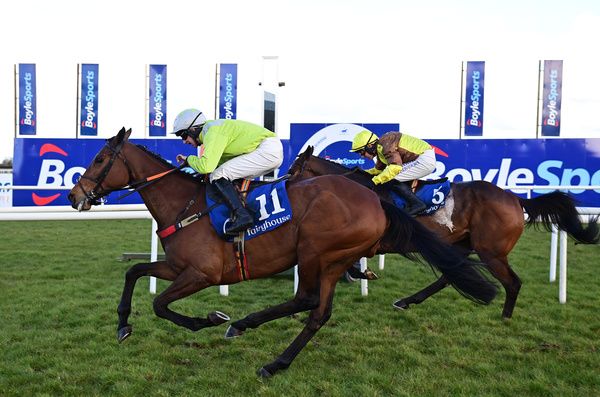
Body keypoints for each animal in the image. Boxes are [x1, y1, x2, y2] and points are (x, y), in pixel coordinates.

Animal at [67, 129, 496, 378]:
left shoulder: (202, 273)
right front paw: (123, 325)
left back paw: (242, 327)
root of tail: (375, 200)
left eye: (101, 159)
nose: (74, 196)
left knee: (305, 299)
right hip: (334, 259)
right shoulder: (177, 266)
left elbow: (160, 305)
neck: (184, 205)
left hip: (315, 251)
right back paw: (276, 361)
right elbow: (135, 271)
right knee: (318, 313)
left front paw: (209, 319)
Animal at [288, 145, 596, 318]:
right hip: (461, 243)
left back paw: (506, 317)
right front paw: (362, 274)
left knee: (513, 282)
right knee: (450, 275)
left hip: (492, 251)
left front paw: (361, 274)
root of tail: (514, 198)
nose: (286, 192)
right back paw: (406, 301)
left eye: (293, 171)